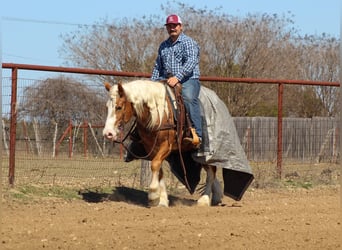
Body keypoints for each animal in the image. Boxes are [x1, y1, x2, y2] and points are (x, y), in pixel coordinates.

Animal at [103, 79, 223, 207]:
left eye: (119, 107)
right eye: (107, 107)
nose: (108, 133)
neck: (158, 115)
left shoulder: (166, 146)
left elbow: (155, 164)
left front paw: (153, 195)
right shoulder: (151, 148)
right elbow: (159, 170)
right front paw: (162, 201)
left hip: (204, 152)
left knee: (211, 171)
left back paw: (204, 200)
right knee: (211, 171)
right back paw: (217, 197)